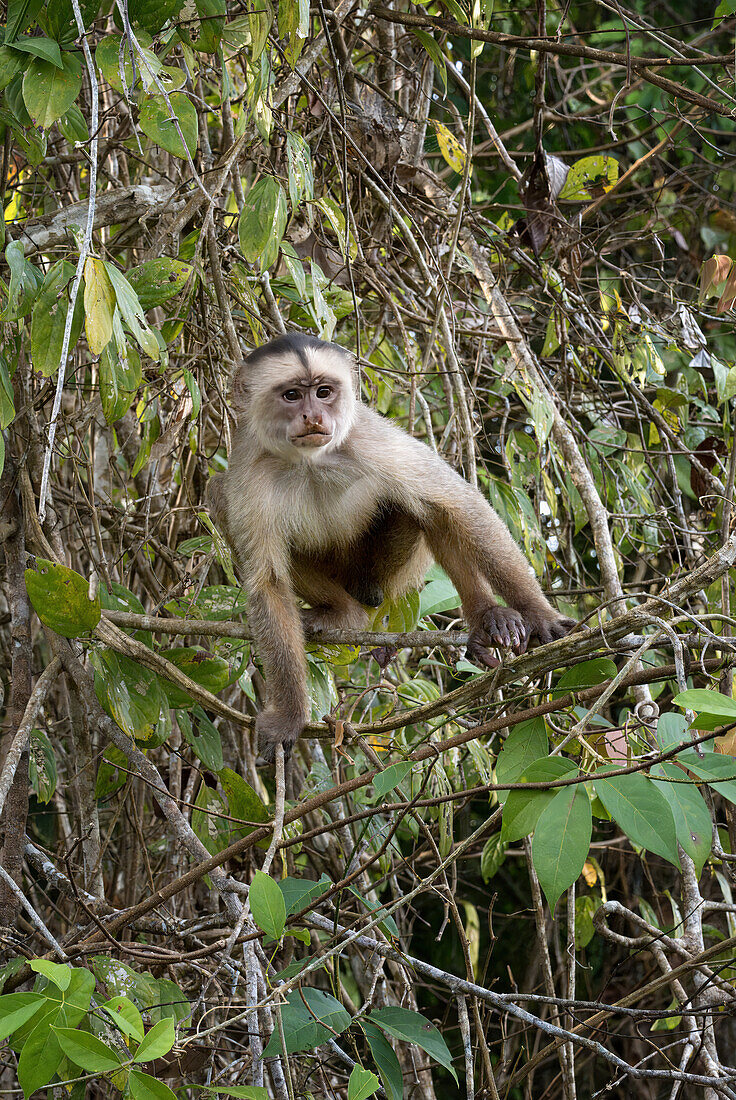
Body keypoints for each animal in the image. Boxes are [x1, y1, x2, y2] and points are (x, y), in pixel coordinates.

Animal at [209, 330, 576, 761]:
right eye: (292, 396)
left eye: (323, 391)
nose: (314, 416)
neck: (310, 460)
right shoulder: (250, 471)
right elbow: (268, 583)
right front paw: (289, 715)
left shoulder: (370, 437)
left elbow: (460, 504)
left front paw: (538, 614)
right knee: (218, 496)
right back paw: (344, 613)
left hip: (386, 577)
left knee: (428, 508)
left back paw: (487, 617)